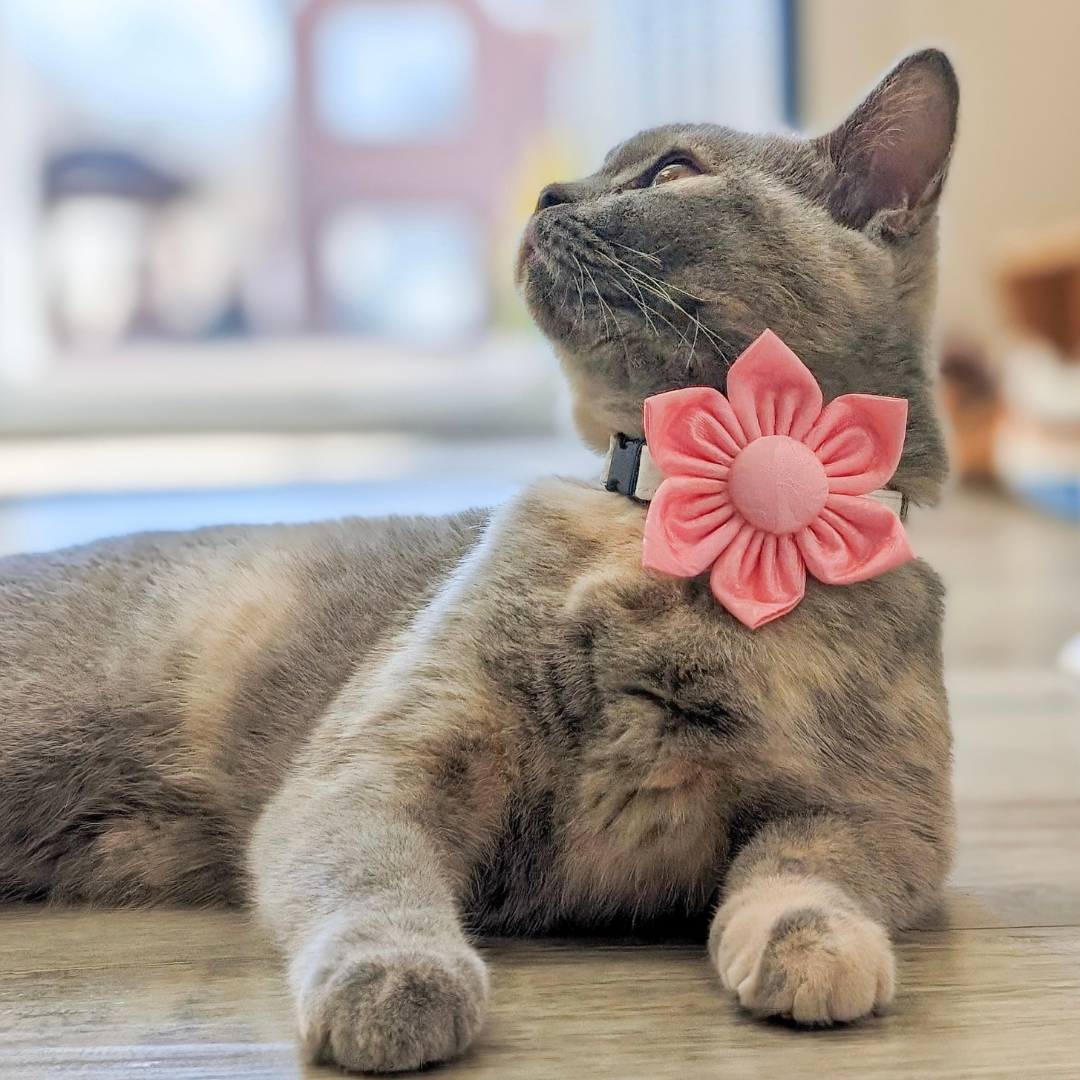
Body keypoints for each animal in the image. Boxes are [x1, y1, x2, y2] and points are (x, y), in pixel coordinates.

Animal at [0, 52, 963, 1080]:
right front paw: (398, 984)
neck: (679, 537)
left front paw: (815, 950)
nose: (548, 194)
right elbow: (375, 885)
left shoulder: (875, 814)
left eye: (671, 172)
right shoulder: (381, 759)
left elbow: (803, 874)